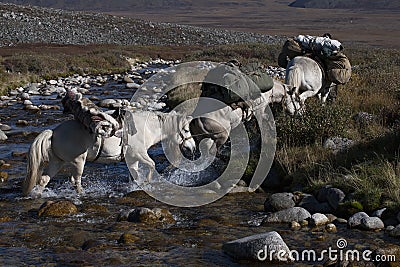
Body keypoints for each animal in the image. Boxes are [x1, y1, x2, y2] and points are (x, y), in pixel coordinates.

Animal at [23, 111, 195, 197]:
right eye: (186, 130)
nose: (193, 149)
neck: (146, 128)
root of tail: (53, 132)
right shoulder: (139, 153)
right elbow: (152, 165)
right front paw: (148, 182)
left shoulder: (133, 158)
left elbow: (135, 174)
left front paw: (137, 186)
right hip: (78, 161)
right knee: (75, 180)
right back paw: (82, 194)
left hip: (57, 162)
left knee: (44, 179)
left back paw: (37, 195)